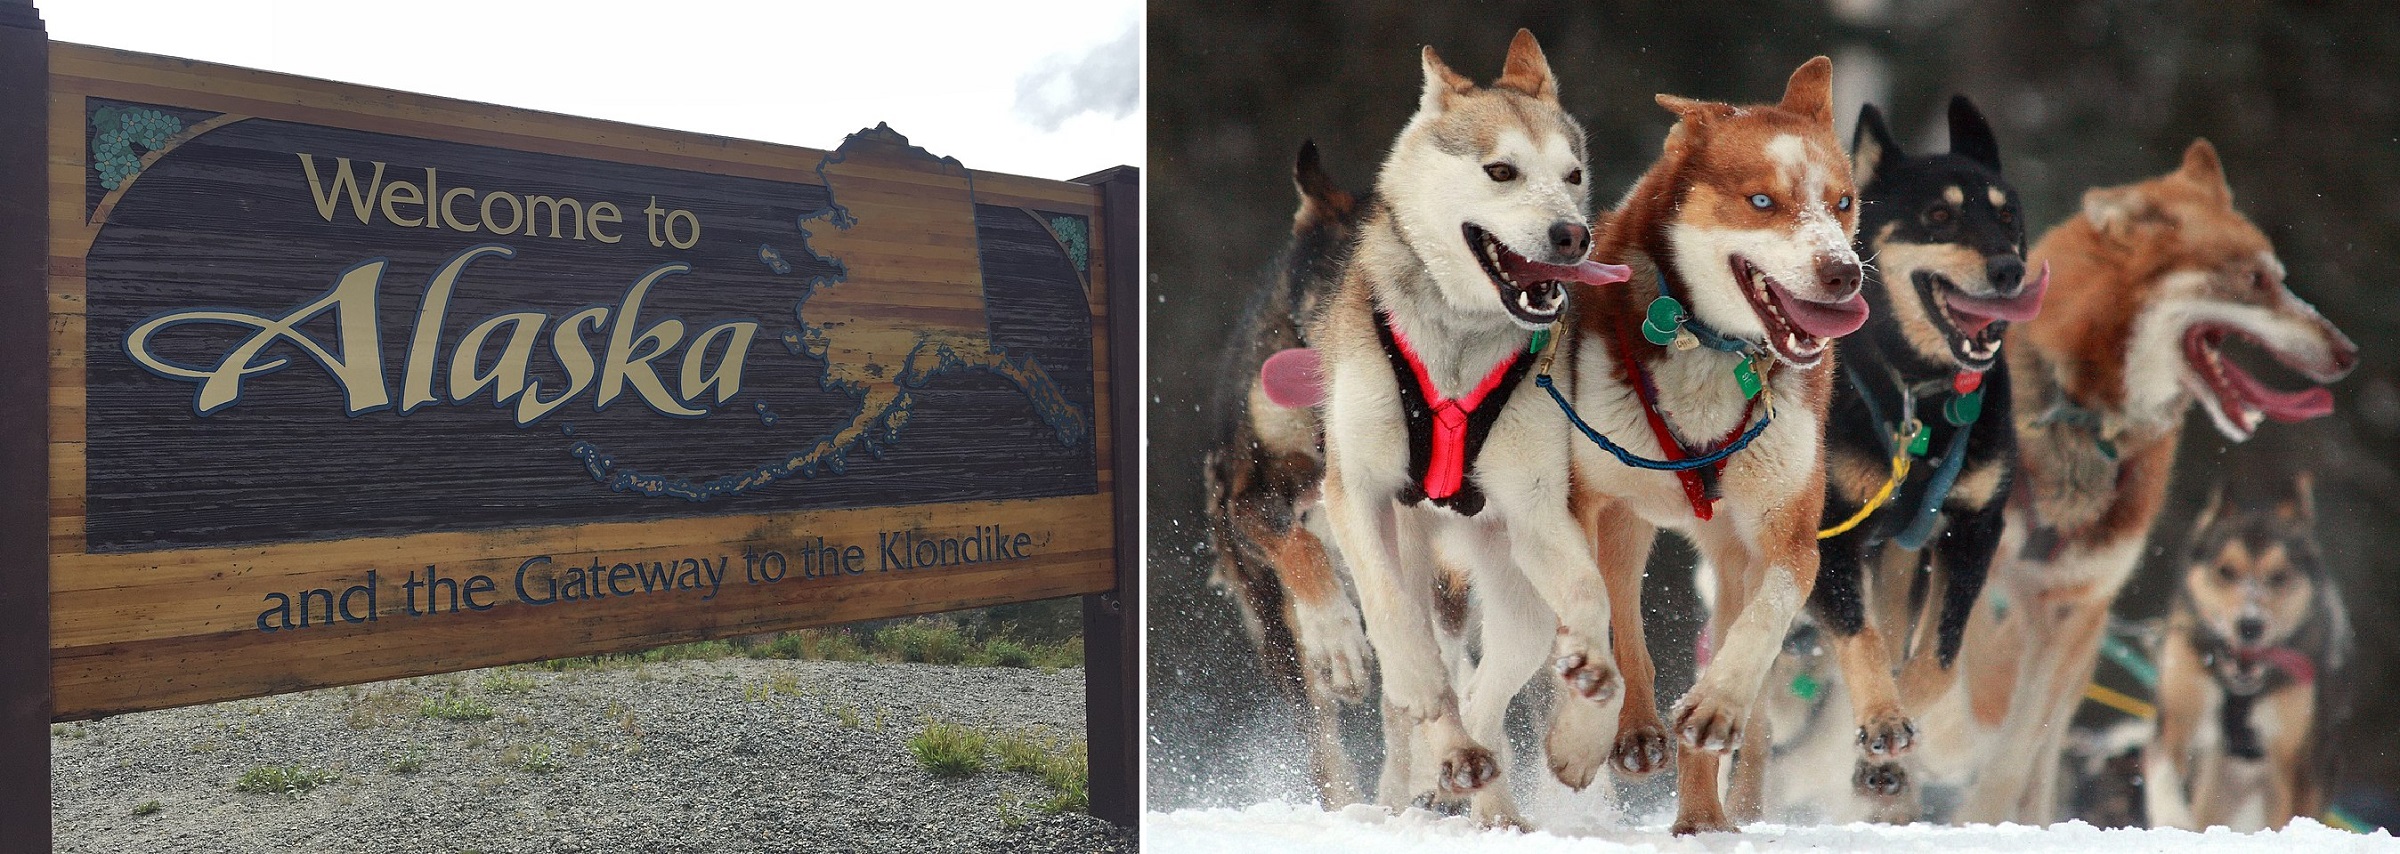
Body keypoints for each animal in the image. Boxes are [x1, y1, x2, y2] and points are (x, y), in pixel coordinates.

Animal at [2150, 470, 2352, 830]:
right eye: (2226, 571)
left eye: (2279, 576)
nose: (2250, 624)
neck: (2239, 692)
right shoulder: (2177, 710)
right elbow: (2164, 772)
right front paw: (2173, 818)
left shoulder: (2293, 763)